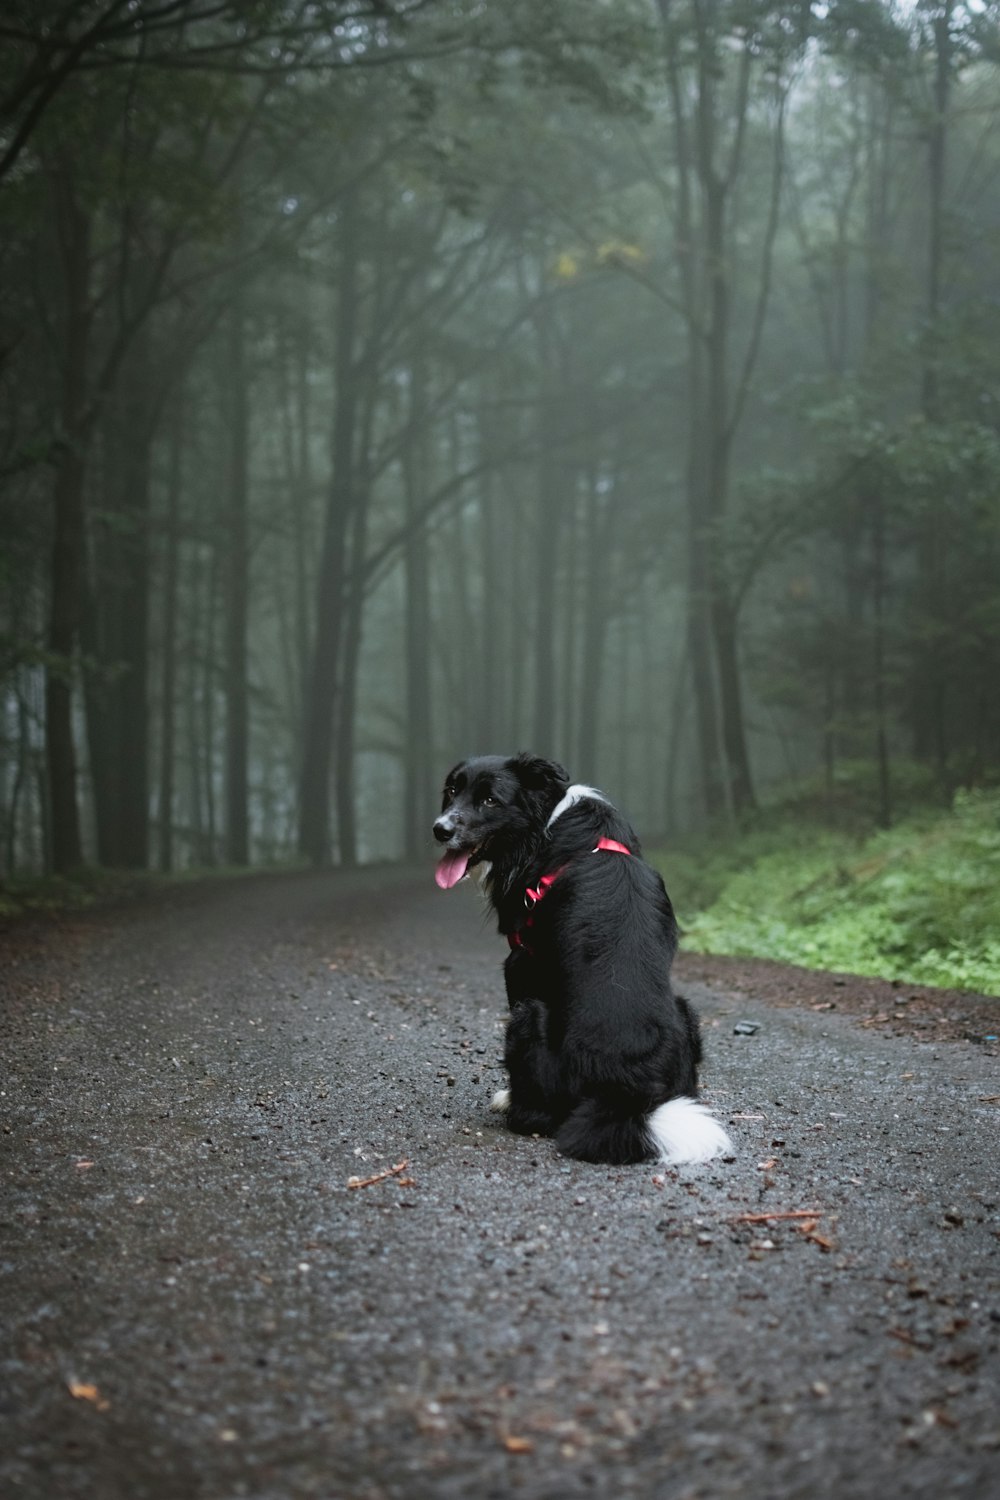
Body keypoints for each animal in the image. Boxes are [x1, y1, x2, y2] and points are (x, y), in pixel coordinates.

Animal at [431, 756, 728, 1164]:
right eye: (451, 791)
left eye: (490, 800)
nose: (439, 829)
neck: (547, 822)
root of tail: (623, 1095)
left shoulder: (520, 962)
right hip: (686, 1011)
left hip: (528, 1015)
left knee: (537, 1115)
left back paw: (512, 1105)